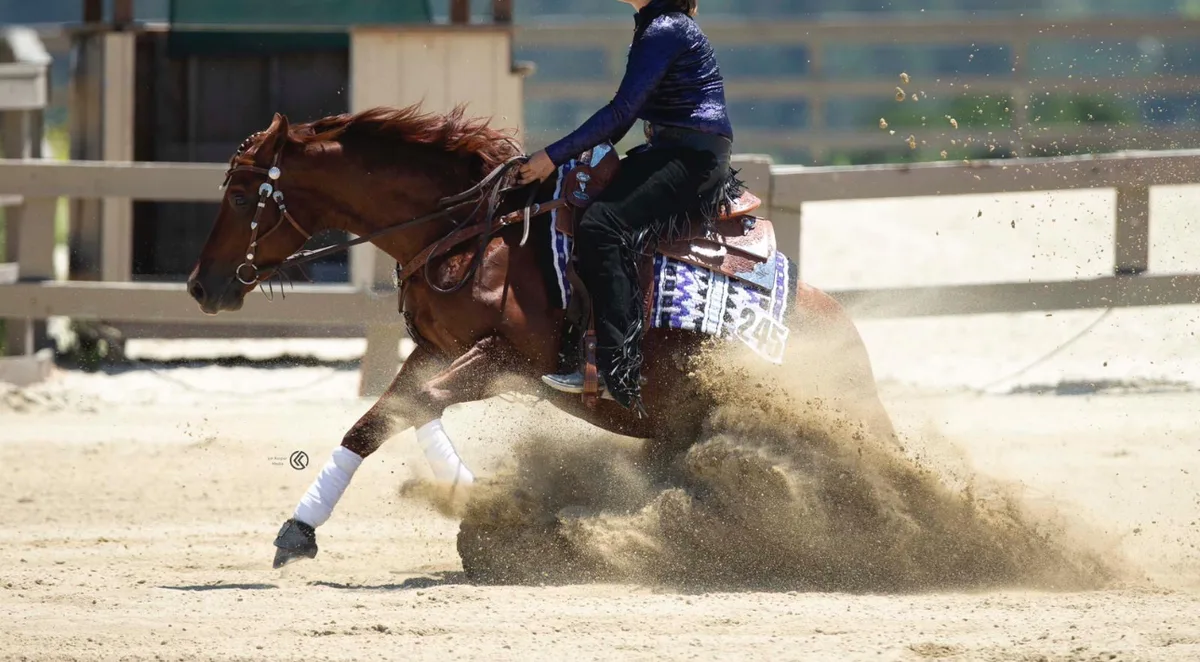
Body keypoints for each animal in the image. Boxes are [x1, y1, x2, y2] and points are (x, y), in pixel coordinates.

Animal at [185, 104, 897, 571]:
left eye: (245, 195)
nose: (200, 285)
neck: (475, 234)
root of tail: (848, 336)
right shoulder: (439, 348)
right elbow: (379, 420)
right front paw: (301, 529)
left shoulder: (507, 360)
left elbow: (413, 408)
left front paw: (484, 511)